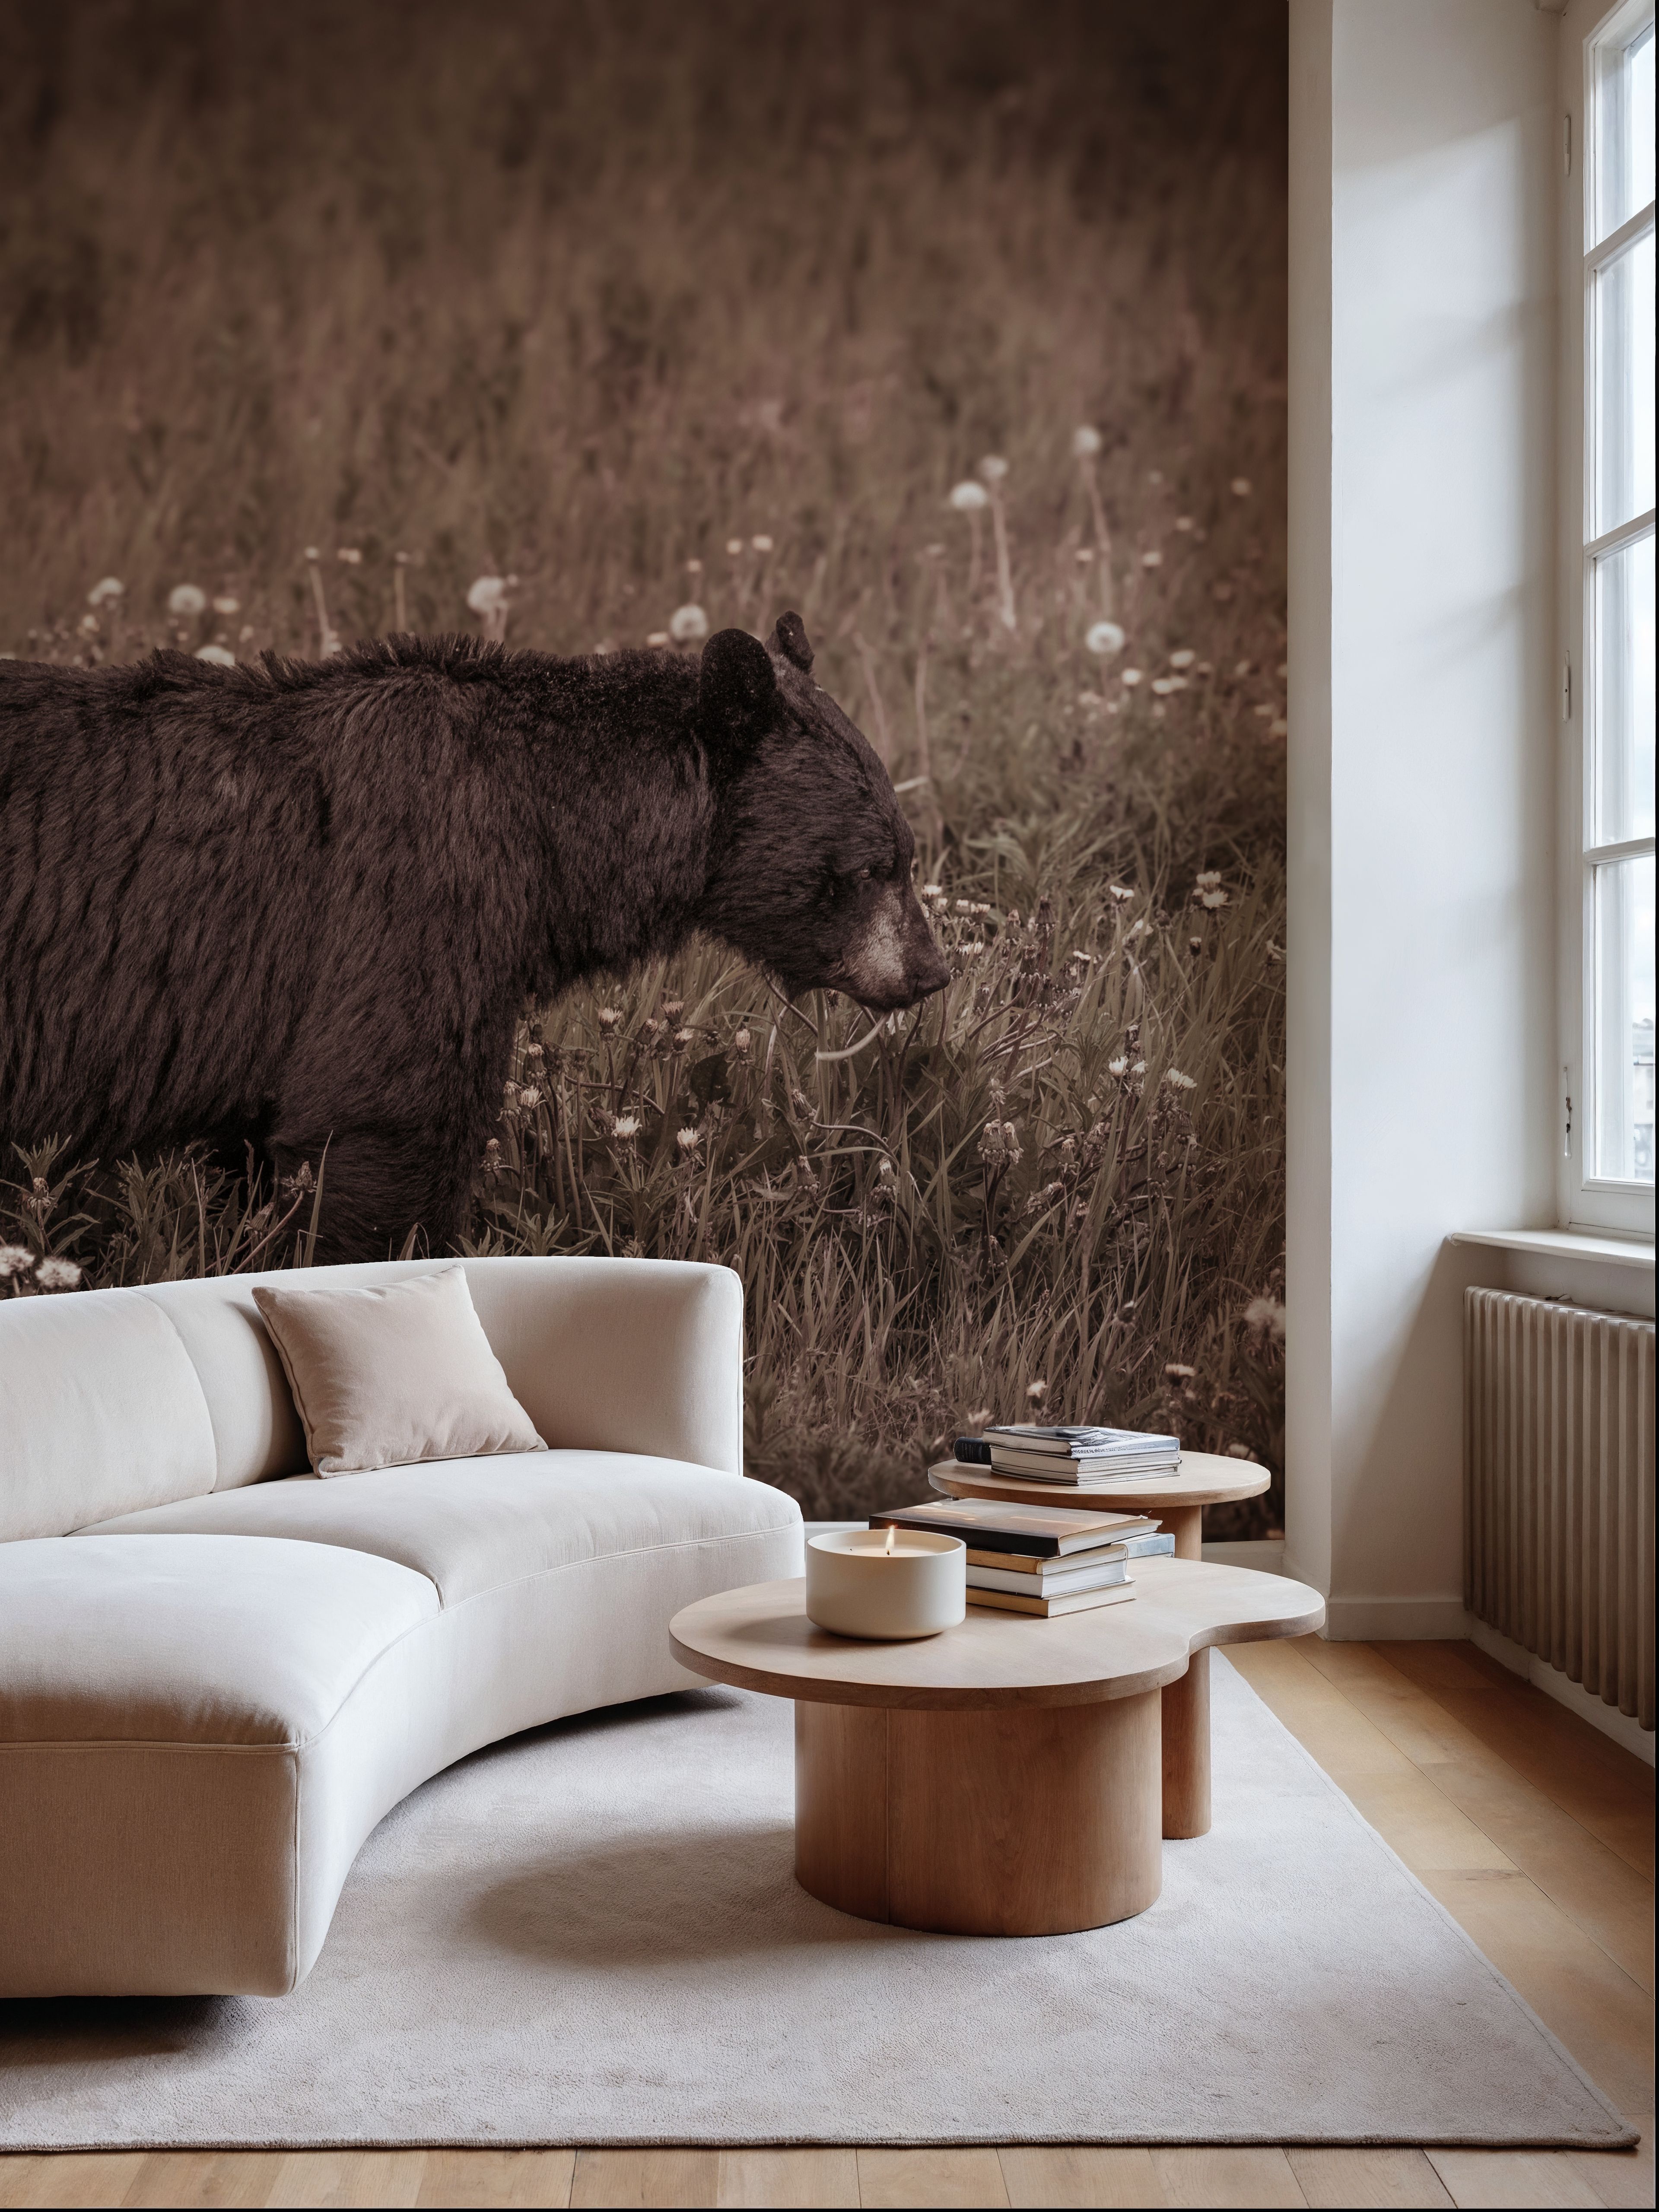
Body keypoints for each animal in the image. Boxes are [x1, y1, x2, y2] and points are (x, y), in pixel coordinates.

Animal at [0, 612, 949, 1263]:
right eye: (875, 866)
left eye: (906, 852)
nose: (931, 971)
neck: (549, 841)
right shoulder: (411, 904)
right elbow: (386, 1120)